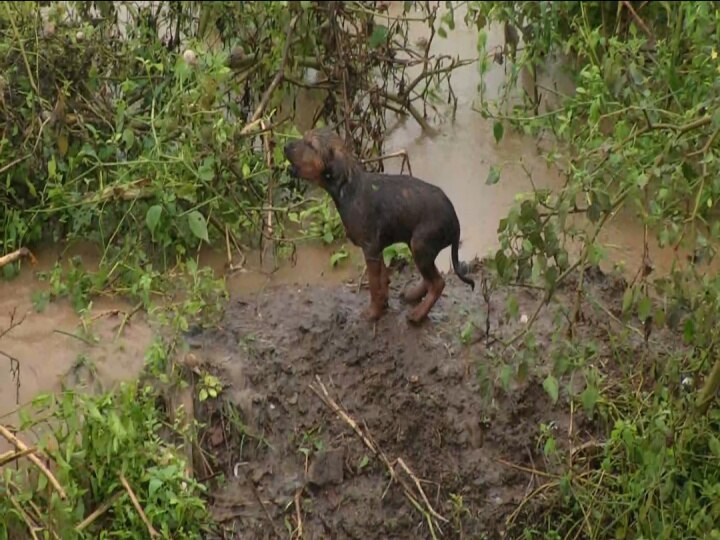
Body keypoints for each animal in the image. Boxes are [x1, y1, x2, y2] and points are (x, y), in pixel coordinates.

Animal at [284, 129, 476, 322]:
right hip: (419, 246)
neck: (348, 187)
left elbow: (374, 285)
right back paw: (412, 295)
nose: (285, 146)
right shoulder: (378, 249)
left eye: (311, 145)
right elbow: (383, 279)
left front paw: (373, 313)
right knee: (429, 278)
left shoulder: (370, 249)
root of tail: (455, 222)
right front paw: (383, 305)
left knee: (437, 283)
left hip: (420, 244)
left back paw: (418, 314)